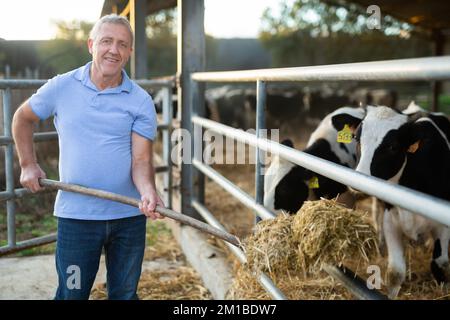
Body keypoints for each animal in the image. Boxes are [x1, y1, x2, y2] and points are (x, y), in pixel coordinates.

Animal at [332, 106, 450, 298]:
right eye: (356, 139)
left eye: (392, 147)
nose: (358, 181)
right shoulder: (391, 220)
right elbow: (395, 271)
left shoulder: (443, 225)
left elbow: (439, 263)